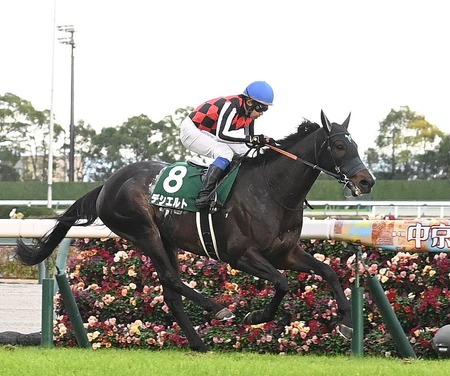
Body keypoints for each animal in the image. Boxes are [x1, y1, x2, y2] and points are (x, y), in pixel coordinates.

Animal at [16, 110, 372, 352]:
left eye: (355, 144)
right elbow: (283, 283)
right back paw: (219, 309)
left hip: (167, 240)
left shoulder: (285, 253)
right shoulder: (240, 255)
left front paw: (346, 324)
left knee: (171, 293)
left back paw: (199, 342)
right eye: (339, 146)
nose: (366, 181)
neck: (270, 190)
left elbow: (328, 272)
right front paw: (255, 316)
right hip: (144, 233)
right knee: (173, 281)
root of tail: (106, 185)